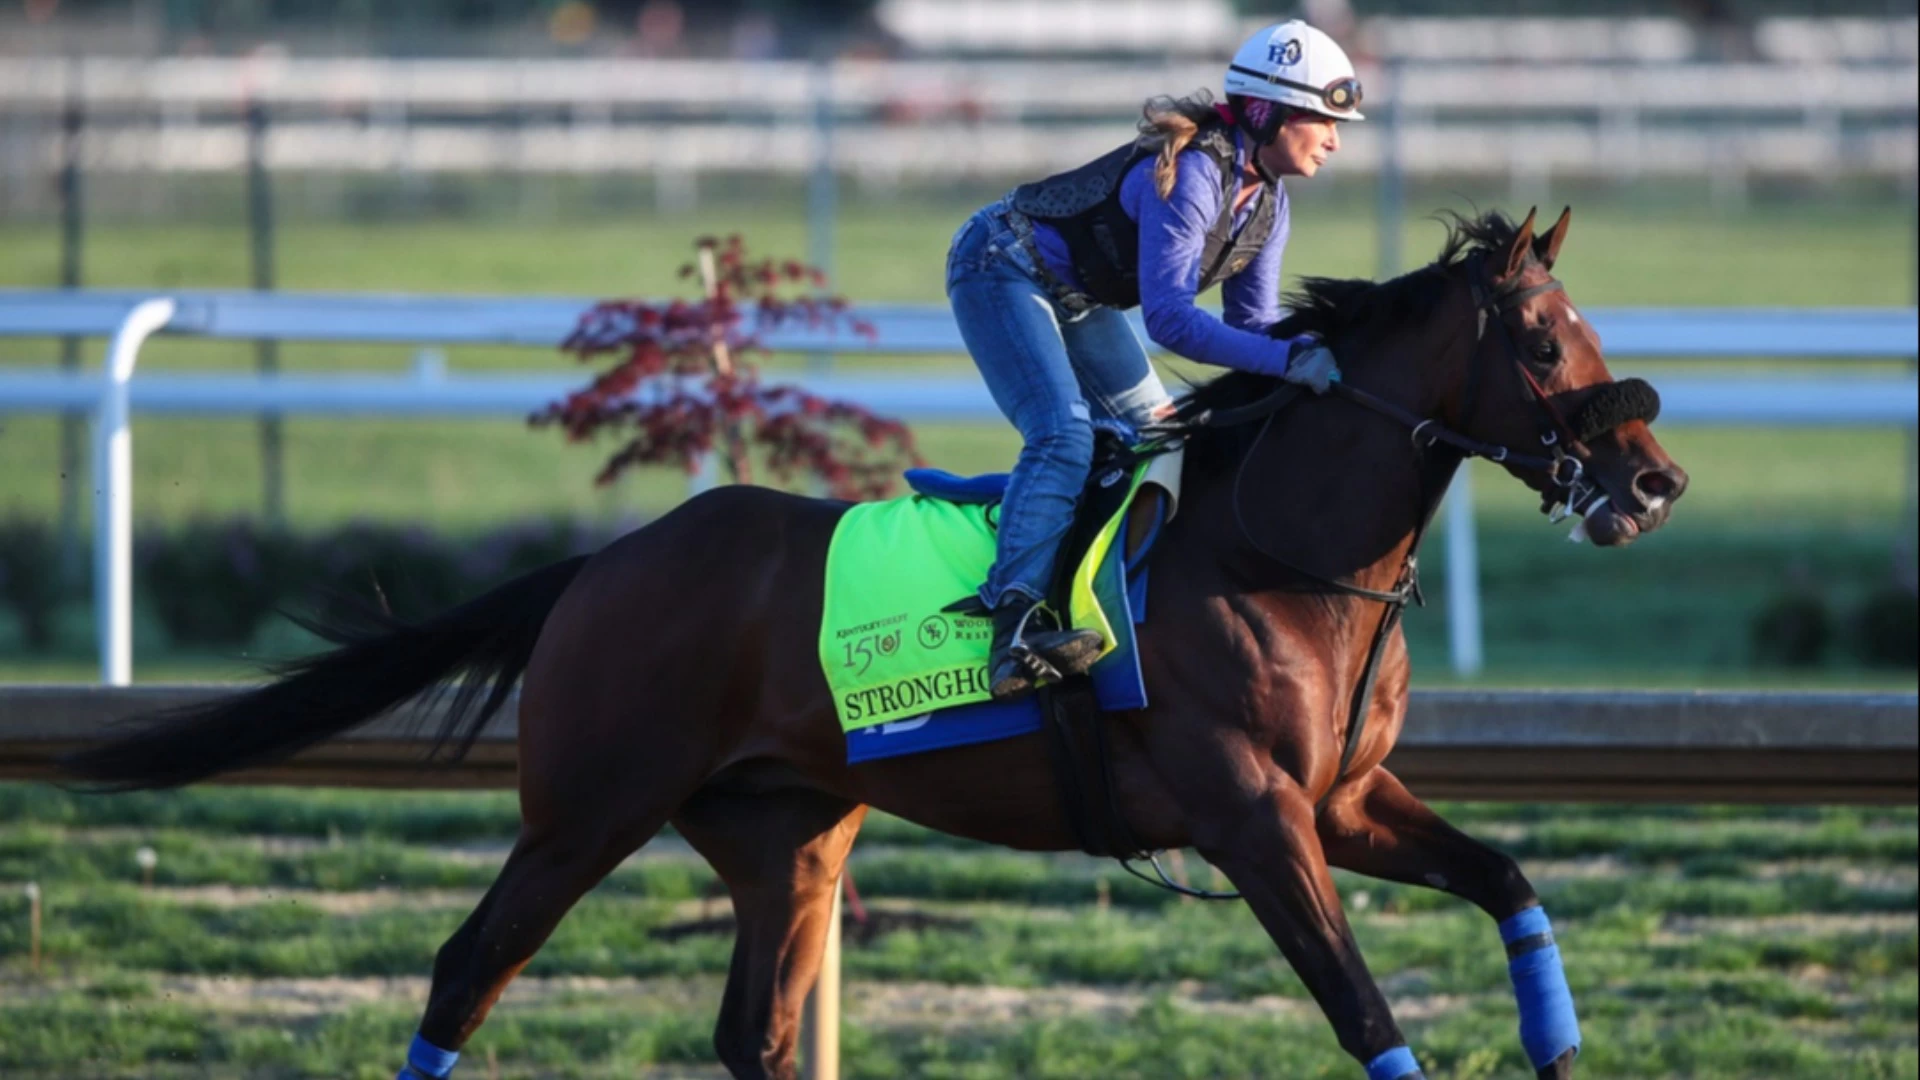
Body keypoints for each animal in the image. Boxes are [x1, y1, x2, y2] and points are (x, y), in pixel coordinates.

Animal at [62, 207, 1686, 1080]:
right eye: (1544, 340)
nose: (1655, 480)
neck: (1277, 552)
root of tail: (607, 563)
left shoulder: (1344, 801)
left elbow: (1509, 880)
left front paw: (1557, 1040)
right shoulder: (1252, 818)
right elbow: (1361, 1004)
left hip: (788, 833)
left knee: (755, 1031)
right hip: (587, 807)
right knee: (469, 969)